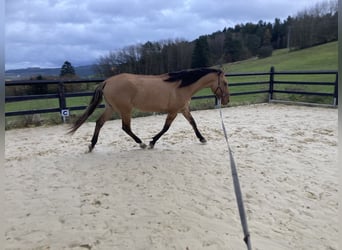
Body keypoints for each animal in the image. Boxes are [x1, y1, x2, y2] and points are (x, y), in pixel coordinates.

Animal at [69, 67, 230, 151]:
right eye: (225, 83)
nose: (227, 101)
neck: (181, 85)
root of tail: (107, 81)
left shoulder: (183, 109)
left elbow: (193, 123)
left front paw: (202, 138)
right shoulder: (174, 111)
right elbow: (166, 128)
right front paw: (152, 142)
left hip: (111, 108)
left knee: (99, 122)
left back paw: (92, 145)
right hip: (125, 109)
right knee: (125, 127)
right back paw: (142, 143)